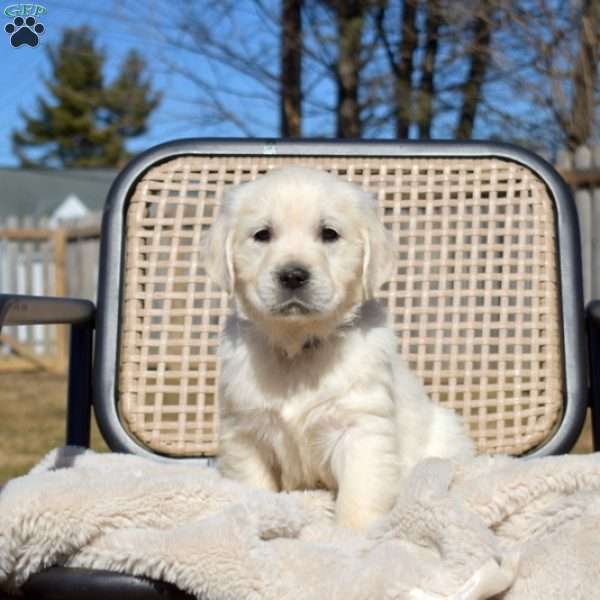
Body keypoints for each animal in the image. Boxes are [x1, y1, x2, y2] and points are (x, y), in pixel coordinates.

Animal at [202, 165, 474, 528]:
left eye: (329, 233)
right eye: (262, 234)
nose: (292, 275)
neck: (298, 346)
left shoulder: (361, 429)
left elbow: (359, 496)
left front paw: (351, 537)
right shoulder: (245, 432)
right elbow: (254, 484)